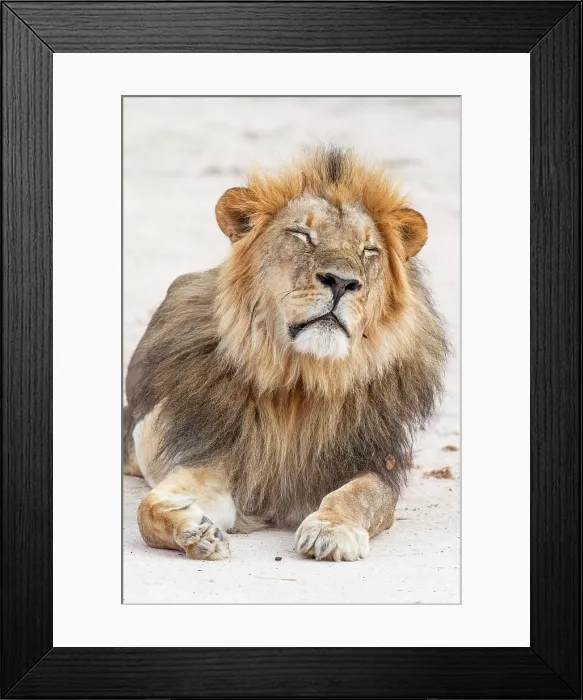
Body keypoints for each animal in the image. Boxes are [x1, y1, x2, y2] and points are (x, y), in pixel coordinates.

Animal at [124, 146, 448, 562]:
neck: (301, 379)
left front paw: (331, 531)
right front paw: (195, 531)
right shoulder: (212, 457)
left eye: (369, 250)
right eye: (302, 234)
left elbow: (357, 495)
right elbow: (147, 508)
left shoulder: (374, 462)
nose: (342, 281)